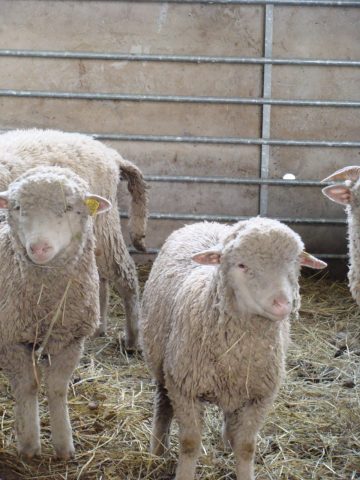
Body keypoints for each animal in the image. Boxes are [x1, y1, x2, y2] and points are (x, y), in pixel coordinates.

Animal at [0, 127, 149, 346]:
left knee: (125, 272)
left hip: (104, 227)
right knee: (100, 278)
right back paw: (98, 328)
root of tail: (110, 153)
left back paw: (133, 340)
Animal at [0, 166, 111, 462]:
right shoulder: (11, 339)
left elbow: (57, 388)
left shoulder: (70, 338)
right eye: (17, 207)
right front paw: (29, 445)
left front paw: (64, 446)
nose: (39, 248)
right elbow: (27, 387)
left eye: (70, 207)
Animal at [141, 218, 326, 480]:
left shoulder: (261, 395)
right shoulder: (184, 389)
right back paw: (157, 450)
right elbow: (190, 443)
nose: (282, 304)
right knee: (162, 405)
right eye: (241, 265)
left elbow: (246, 446)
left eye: (295, 263)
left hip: (236, 389)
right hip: (160, 365)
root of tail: (204, 222)